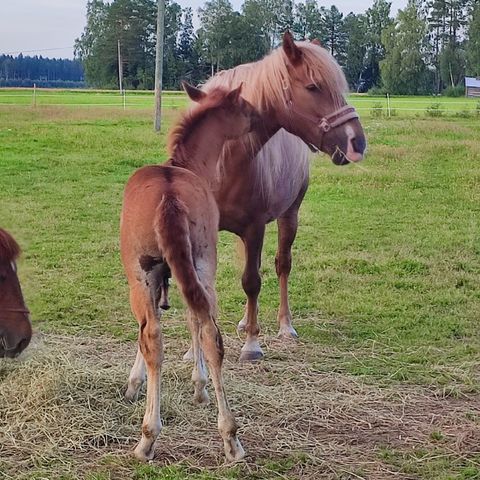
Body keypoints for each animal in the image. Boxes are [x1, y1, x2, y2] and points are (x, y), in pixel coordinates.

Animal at [120, 82, 258, 462]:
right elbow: (192, 323)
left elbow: (158, 330)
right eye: (245, 107)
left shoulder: (155, 280)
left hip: (141, 276)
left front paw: (136, 383)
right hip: (201, 269)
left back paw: (148, 438)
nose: (259, 118)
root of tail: (169, 196)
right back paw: (231, 439)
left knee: (154, 336)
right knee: (209, 334)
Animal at [201, 31, 366, 360]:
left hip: (289, 216)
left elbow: (252, 281)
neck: (224, 160)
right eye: (314, 86)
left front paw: (252, 345)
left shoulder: (255, 227)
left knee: (281, 266)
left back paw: (284, 326)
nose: (357, 143)